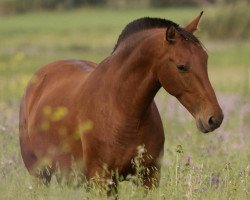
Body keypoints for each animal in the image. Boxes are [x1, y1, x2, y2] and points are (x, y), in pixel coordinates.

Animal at [19, 11, 223, 195]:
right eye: (181, 67)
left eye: (205, 60)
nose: (214, 118)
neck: (121, 110)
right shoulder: (101, 181)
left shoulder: (148, 179)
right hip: (40, 175)